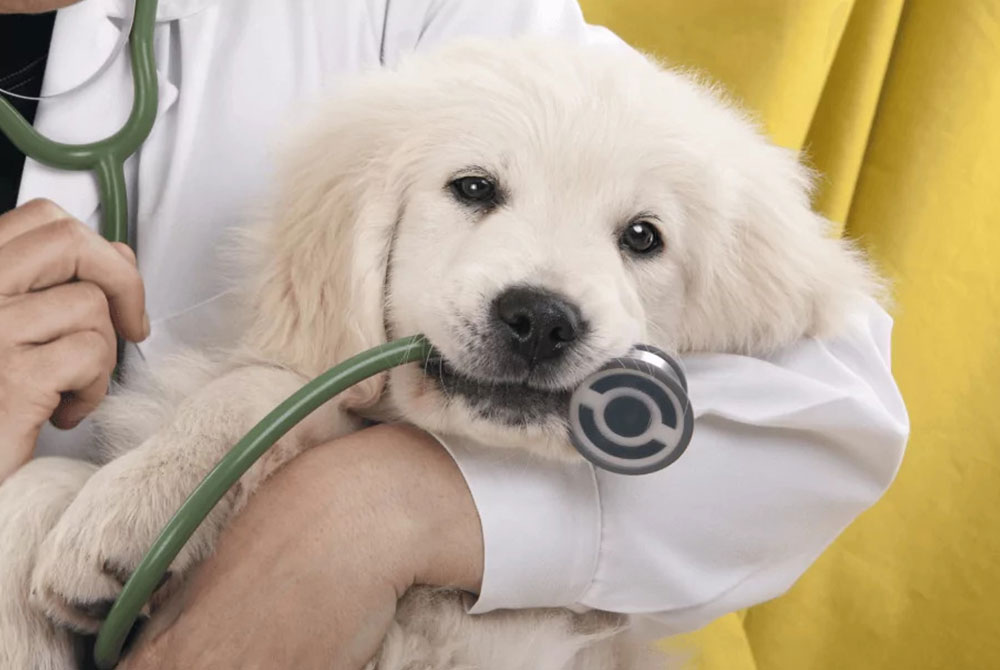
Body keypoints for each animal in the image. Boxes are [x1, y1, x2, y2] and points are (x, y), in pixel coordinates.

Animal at [0, 38, 876, 670]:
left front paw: (123, 514)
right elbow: (56, 472)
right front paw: (115, 519)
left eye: (642, 237)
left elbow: (260, 388)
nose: (541, 320)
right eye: (475, 188)